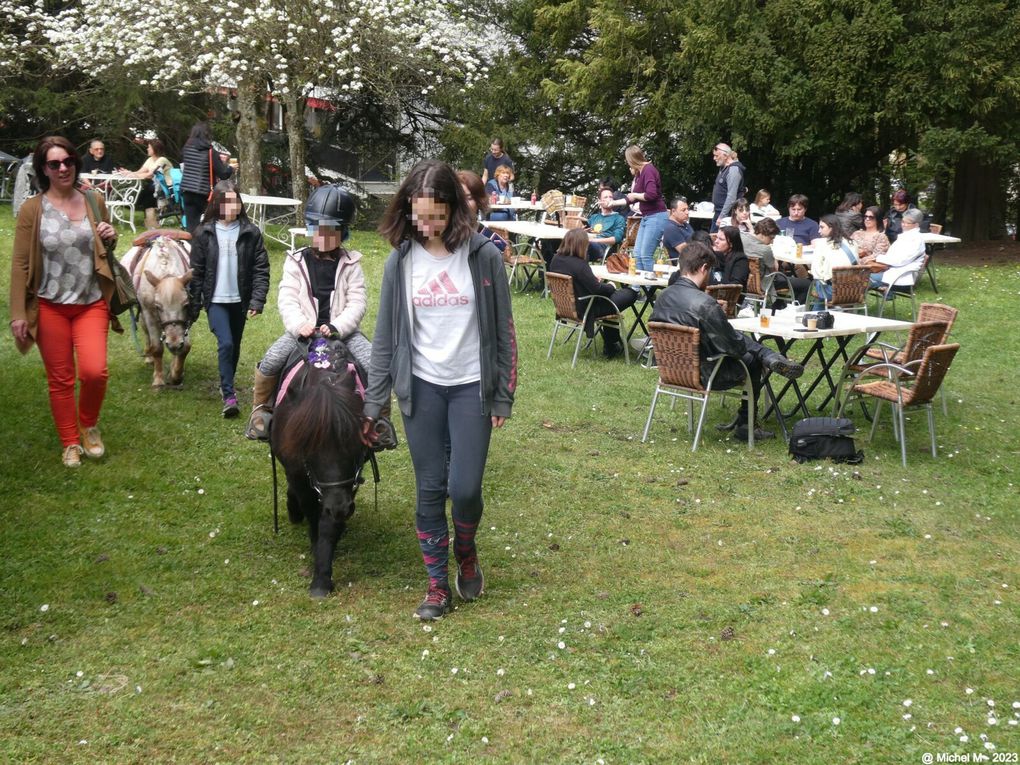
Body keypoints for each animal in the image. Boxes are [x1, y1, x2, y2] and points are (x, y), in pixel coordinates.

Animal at [120, 229, 193, 385]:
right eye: (158, 307)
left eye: (186, 305)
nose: (174, 343)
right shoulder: (149, 313)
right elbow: (157, 348)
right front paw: (158, 379)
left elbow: (185, 347)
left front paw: (175, 374)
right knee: (146, 332)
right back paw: (149, 357)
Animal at [269, 340, 369, 599]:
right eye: (308, 446)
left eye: (354, 443)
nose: (341, 508)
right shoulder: (296, 470)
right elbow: (311, 509)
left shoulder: (349, 480)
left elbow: (327, 523)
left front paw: (322, 578)